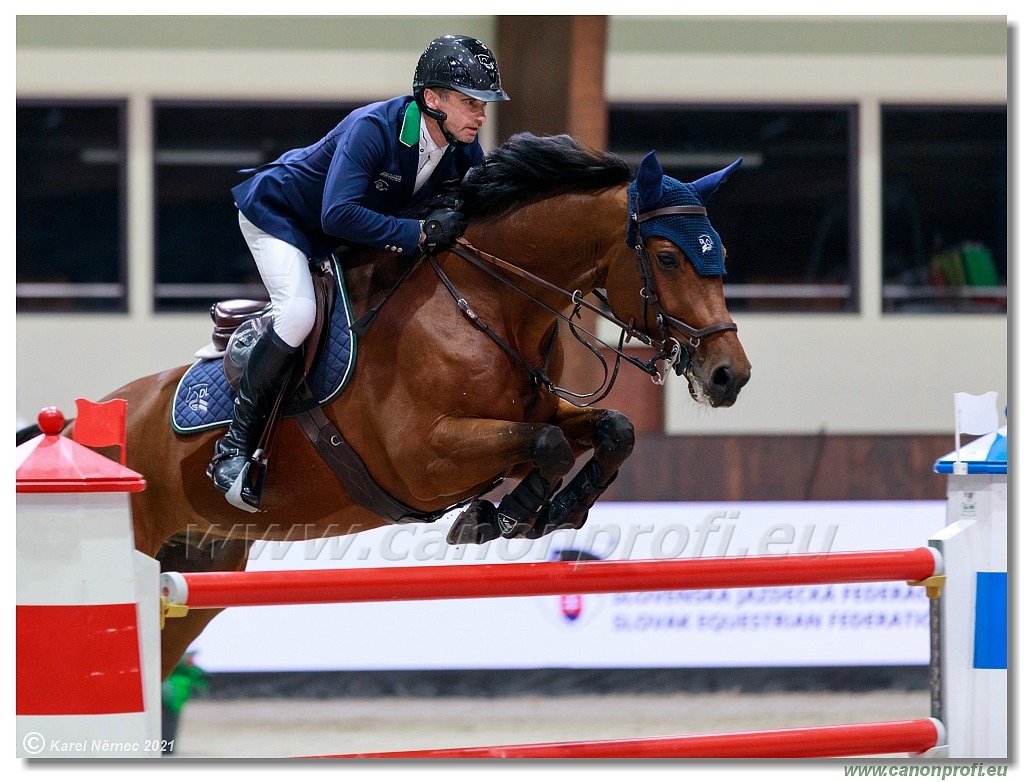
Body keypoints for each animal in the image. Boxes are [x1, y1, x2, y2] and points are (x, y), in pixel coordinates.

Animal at [70, 131, 753, 675]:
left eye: (721, 255)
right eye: (667, 257)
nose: (730, 376)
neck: (487, 301)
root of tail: (84, 422)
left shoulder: (531, 413)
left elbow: (612, 430)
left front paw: (552, 512)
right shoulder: (423, 459)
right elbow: (549, 445)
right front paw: (504, 516)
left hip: (200, 572)